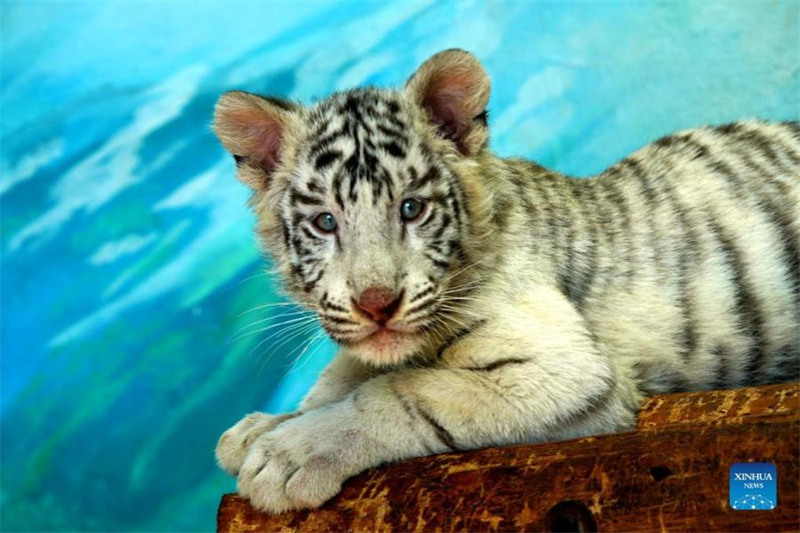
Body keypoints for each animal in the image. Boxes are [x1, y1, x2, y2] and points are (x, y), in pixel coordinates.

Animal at [212, 49, 800, 514]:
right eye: (325, 222)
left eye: (412, 209)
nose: (377, 305)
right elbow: (348, 371)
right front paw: (266, 426)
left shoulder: (570, 371)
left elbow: (402, 391)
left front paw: (289, 455)